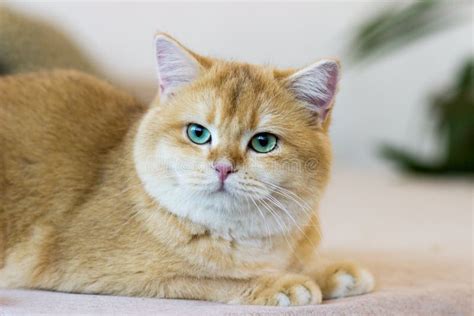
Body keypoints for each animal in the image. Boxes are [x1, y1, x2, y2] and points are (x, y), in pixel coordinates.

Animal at [0, 33, 378, 304]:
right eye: (198, 133)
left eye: (263, 142)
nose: (223, 167)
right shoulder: (93, 270)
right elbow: (210, 277)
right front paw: (280, 283)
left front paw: (325, 271)